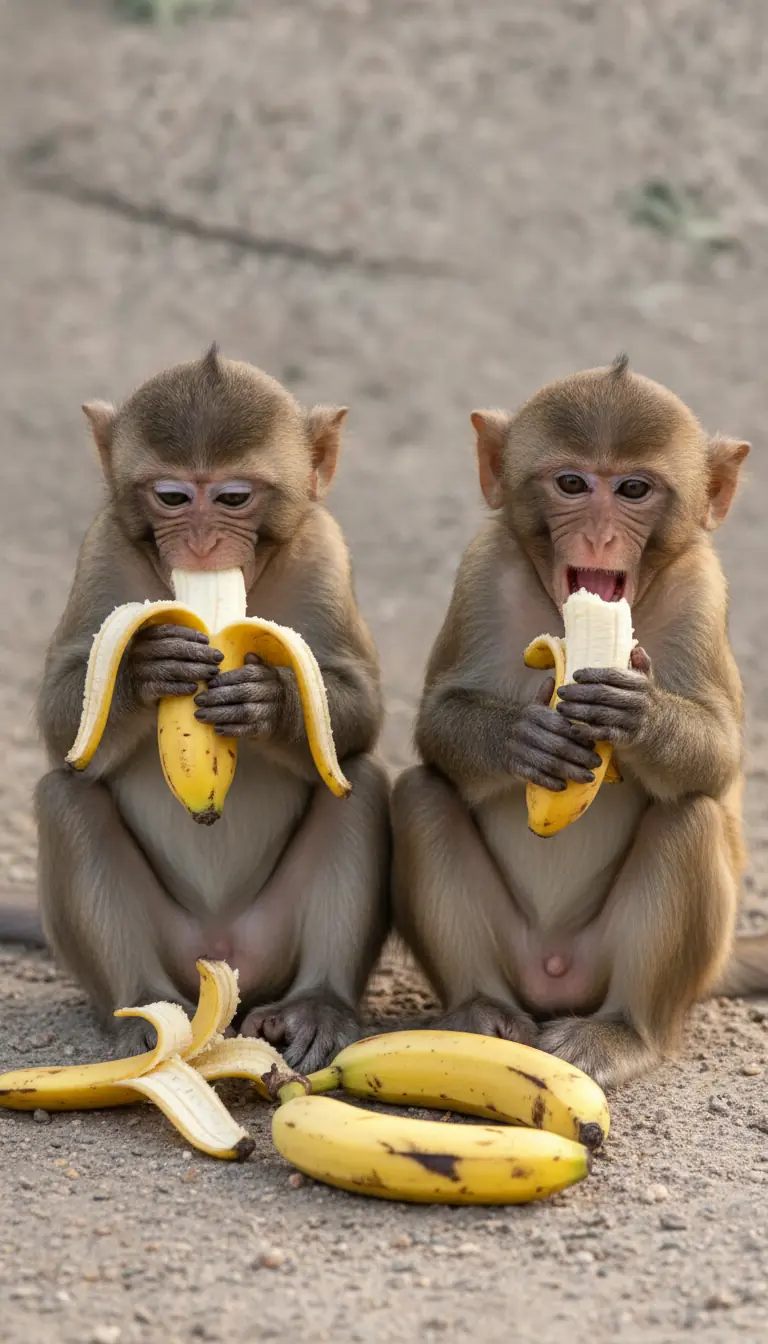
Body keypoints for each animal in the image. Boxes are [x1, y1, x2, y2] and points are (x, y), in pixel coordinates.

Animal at [0, 347, 390, 1071]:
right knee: (67, 795)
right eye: (173, 497)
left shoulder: (325, 549)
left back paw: (317, 1004)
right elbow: (61, 718)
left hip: (274, 938)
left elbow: (360, 704)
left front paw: (268, 698)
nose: (203, 543)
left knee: (359, 781)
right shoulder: (101, 548)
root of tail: (221, 958)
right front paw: (144, 667)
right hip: (168, 945)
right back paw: (144, 1007)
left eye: (233, 497)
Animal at [392, 356, 768, 1088]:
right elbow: (438, 720)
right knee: (422, 794)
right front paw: (522, 736)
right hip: (516, 955)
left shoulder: (703, 590)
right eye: (572, 483)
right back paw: (480, 1011)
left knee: (691, 816)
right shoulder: (483, 568)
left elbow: (720, 754)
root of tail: (554, 973)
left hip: (618, 968)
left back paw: (623, 1031)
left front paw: (639, 715)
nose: (598, 534)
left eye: (633, 488)